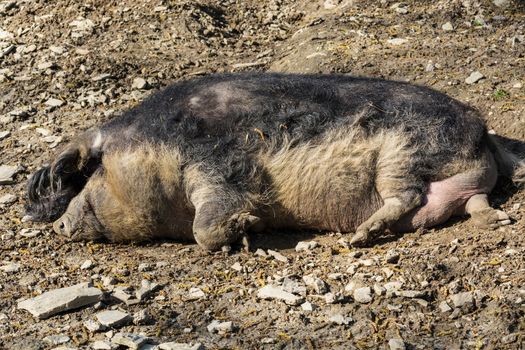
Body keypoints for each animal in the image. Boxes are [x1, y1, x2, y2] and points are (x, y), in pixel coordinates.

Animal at [25, 73, 524, 249]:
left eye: (93, 176)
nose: (60, 224)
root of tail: (483, 132)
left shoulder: (217, 164)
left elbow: (207, 225)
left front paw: (246, 231)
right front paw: (247, 233)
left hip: (403, 151)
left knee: (407, 195)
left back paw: (359, 237)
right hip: (453, 176)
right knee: (472, 201)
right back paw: (492, 222)